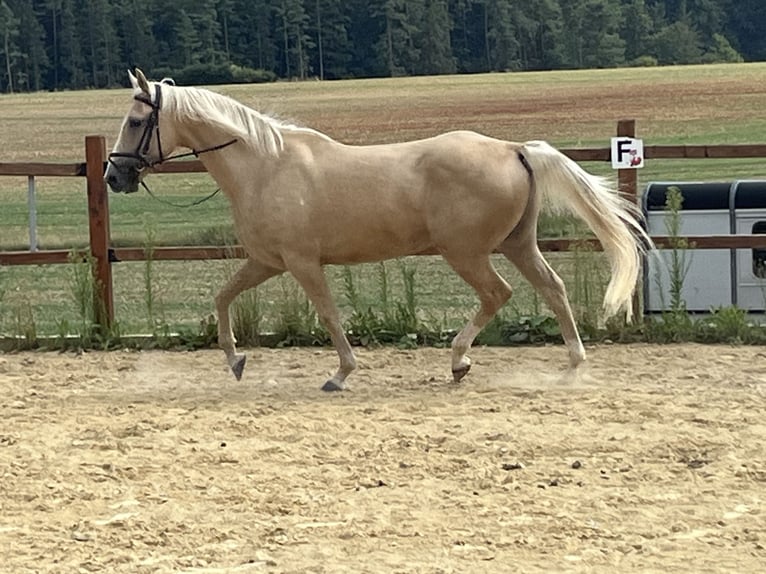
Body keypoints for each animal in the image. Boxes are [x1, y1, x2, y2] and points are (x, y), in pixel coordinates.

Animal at [105, 69, 651, 391]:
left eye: (134, 121)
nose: (114, 175)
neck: (266, 165)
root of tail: (513, 149)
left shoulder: (302, 263)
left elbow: (328, 315)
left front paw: (341, 374)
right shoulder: (267, 261)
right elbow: (222, 298)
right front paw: (235, 362)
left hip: (467, 253)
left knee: (499, 294)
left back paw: (459, 362)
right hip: (517, 244)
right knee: (553, 288)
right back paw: (573, 364)